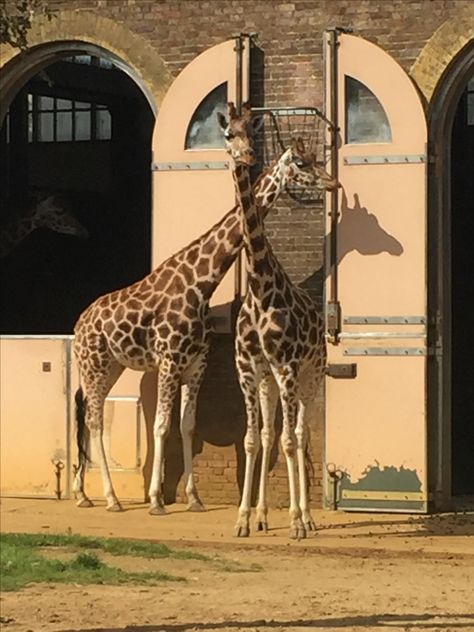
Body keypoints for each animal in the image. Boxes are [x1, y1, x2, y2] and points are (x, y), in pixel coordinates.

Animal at [72, 139, 336, 512]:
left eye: (317, 160)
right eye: (301, 163)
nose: (333, 183)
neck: (201, 284)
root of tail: (78, 323)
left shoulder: (197, 363)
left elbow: (187, 426)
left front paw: (194, 498)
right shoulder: (169, 360)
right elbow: (161, 426)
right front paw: (156, 499)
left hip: (111, 367)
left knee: (86, 416)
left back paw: (82, 494)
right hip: (93, 363)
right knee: (94, 420)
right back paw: (111, 498)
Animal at [218, 102, 340, 540]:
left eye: (252, 134)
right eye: (229, 134)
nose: (247, 157)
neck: (259, 286)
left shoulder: (288, 366)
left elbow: (290, 441)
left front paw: (297, 522)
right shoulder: (248, 368)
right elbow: (254, 440)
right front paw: (242, 519)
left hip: (310, 375)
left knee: (300, 435)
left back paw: (305, 517)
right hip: (271, 380)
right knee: (272, 434)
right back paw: (263, 516)